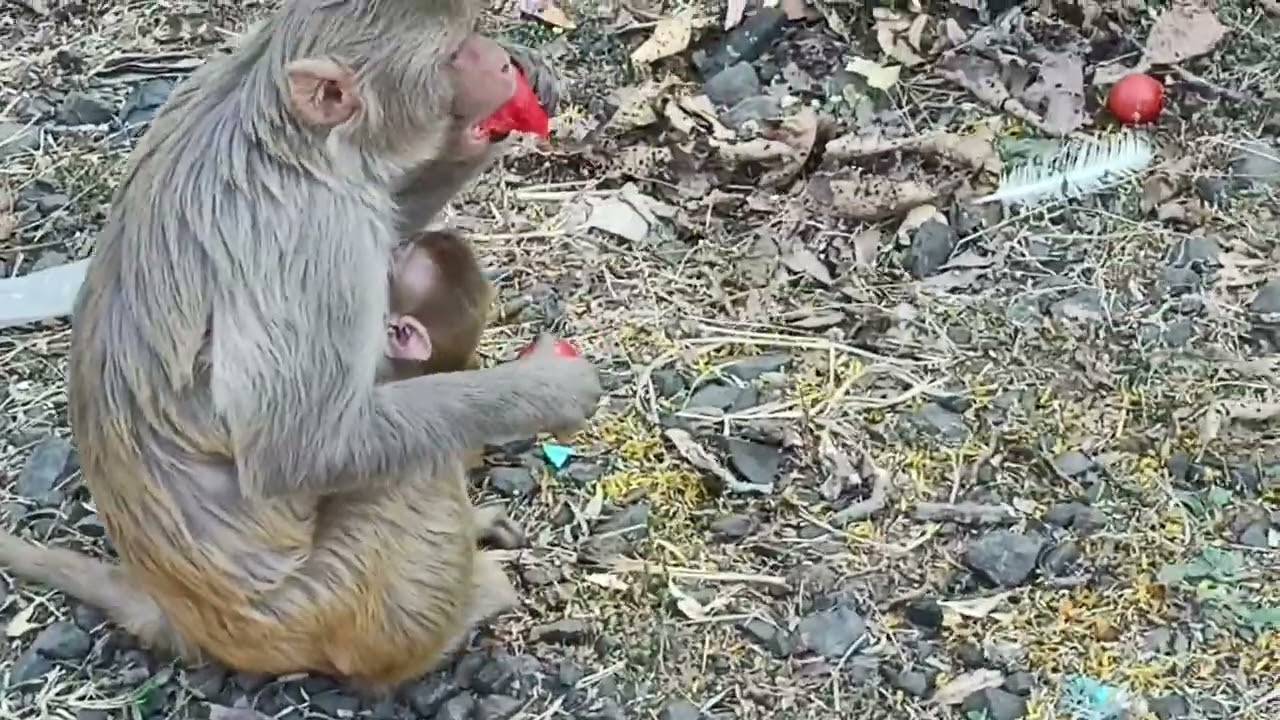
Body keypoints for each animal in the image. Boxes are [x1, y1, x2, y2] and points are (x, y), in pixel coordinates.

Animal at [0, 0, 597, 694]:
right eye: (453, 54)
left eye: (474, 34)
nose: (500, 63)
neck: (284, 137)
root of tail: (187, 618)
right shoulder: (319, 239)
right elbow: (301, 451)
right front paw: (546, 389)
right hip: (316, 611)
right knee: (408, 468)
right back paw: (459, 616)